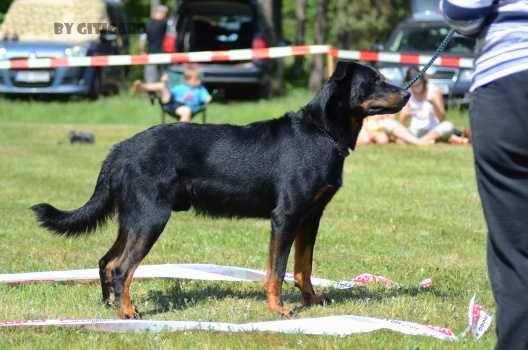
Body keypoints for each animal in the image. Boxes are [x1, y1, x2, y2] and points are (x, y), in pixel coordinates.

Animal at [31, 61, 410, 318]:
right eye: (375, 81)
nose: (407, 92)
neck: (322, 133)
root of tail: (120, 149)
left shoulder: (310, 217)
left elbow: (304, 266)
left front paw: (312, 301)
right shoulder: (285, 217)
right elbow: (278, 269)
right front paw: (279, 309)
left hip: (133, 219)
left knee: (107, 262)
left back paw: (111, 307)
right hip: (150, 218)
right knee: (123, 268)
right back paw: (128, 312)